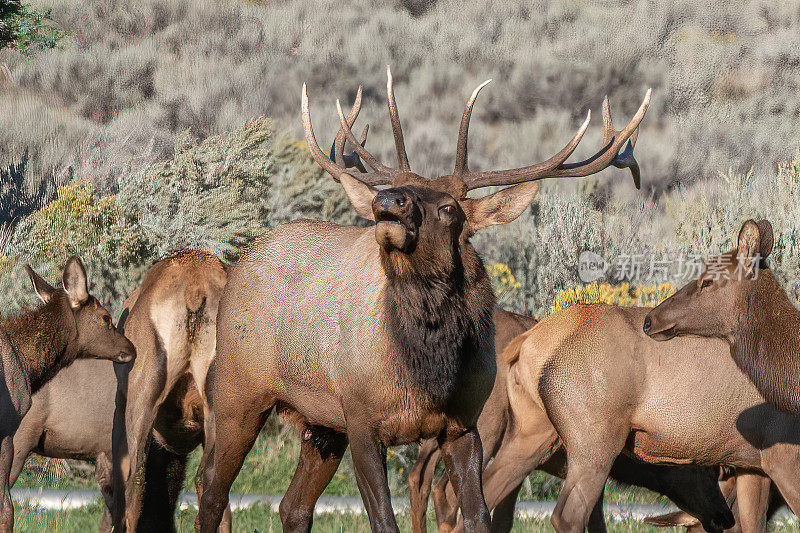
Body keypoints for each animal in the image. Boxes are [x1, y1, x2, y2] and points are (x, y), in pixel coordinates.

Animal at [194, 66, 648, 532]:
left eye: (449, 207)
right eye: (398, 187)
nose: (387, 200)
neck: (428, 374)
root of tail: (242, 258)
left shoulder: (463, 425)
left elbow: (478, 516)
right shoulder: (361, 418)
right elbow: (384, 521)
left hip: (319, 422)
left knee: (292, 505)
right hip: (236, 390)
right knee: (210, 488)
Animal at [510, 304, 800, 532]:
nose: (722, 518)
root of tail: (530, 341)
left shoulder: (753, 465)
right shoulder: (782, 459)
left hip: (535, 435)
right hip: (594, 442)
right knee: (568, 515)